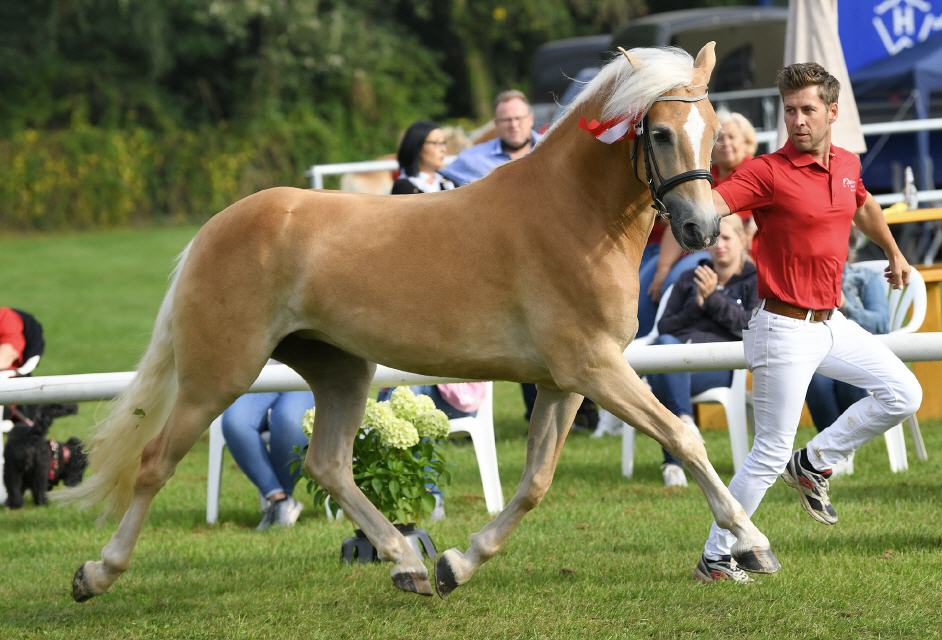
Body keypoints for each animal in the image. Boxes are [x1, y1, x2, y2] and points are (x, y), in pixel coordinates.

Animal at [62, 43, 780, 600]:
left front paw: (456, 564)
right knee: (155, 462)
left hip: (341, 370)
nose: (702, 228)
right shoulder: (594, 369)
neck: (572, 216)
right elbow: (683, 438)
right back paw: (97, 573)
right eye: (659, 132)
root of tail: (214, 230)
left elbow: (535, 483)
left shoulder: (563, 382)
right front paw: (753, 542)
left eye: (711, 127)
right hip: (220, 374)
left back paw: (406, 562)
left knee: (328, 463)